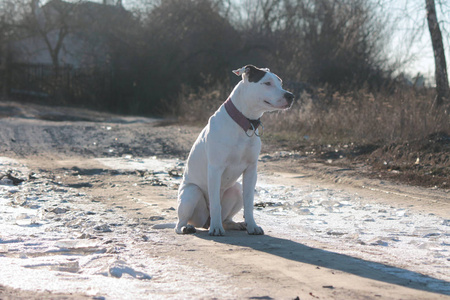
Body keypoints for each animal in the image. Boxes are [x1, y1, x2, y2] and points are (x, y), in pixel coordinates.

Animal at [174, 65, 294, 237]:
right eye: (267, 83)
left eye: (280, 83)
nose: (290, 96)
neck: (244, 123)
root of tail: (205, 222)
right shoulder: (215, 169)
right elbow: (215, 203)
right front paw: (216, 228)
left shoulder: (251, 170)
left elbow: (249, 202)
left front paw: (252, 226)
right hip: (191, 192)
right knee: (180, 222)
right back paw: (190, 227)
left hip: (236, 189)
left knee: (227, 215)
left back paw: (234, 224)